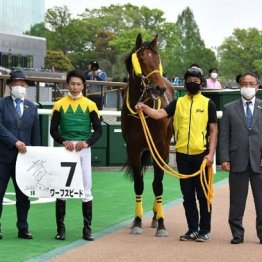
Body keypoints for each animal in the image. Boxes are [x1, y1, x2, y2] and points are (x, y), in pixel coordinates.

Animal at [121, 33, 174, 236]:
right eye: (142, 59)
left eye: (157, 59)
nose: (159, 88)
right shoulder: (133, 148)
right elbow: (139, 183)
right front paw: (136, 221)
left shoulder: (161, 147)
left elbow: (158, 184)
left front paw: (161, 223)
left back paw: (156, 216)